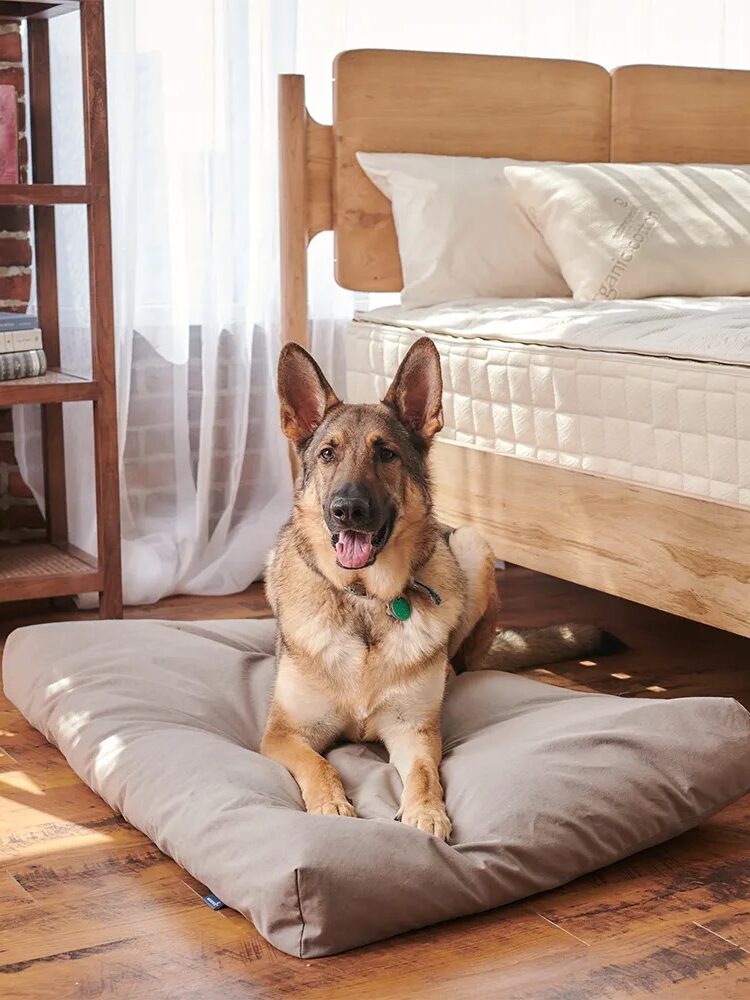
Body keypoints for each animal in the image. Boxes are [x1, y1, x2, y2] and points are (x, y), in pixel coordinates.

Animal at [262, 340, 608, 840]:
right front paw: (331, 803)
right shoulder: (283, 734)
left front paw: (426, 813)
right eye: (328, 454)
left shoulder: (414, 732)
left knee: (462, 663)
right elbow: (317, 765)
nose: (348, 510)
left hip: (472, 546)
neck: (364, 600)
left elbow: (425, 773)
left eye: (386, 454)